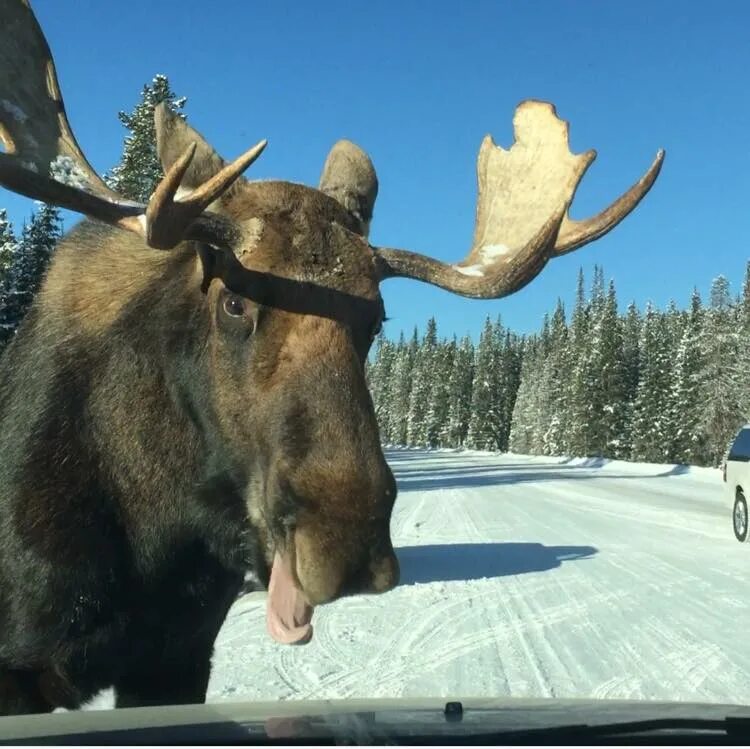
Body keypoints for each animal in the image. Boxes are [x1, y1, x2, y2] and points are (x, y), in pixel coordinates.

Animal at [0, 0, 664, 712]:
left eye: (377, 318)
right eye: (232, 301)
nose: (345, 543)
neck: (151, 532)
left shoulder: (178, 653)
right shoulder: (23, 665)